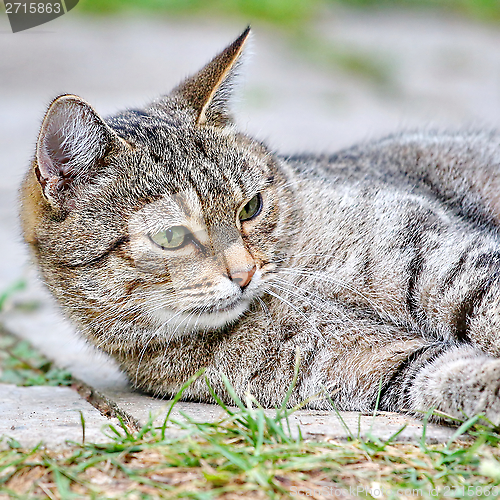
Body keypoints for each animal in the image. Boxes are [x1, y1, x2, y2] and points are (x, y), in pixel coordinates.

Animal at [18, 27, 500, 424]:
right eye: (171, 237)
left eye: (251, 207)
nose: (245, 273)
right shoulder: (365, 361)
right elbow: (444, 373)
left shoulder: (448, 261)